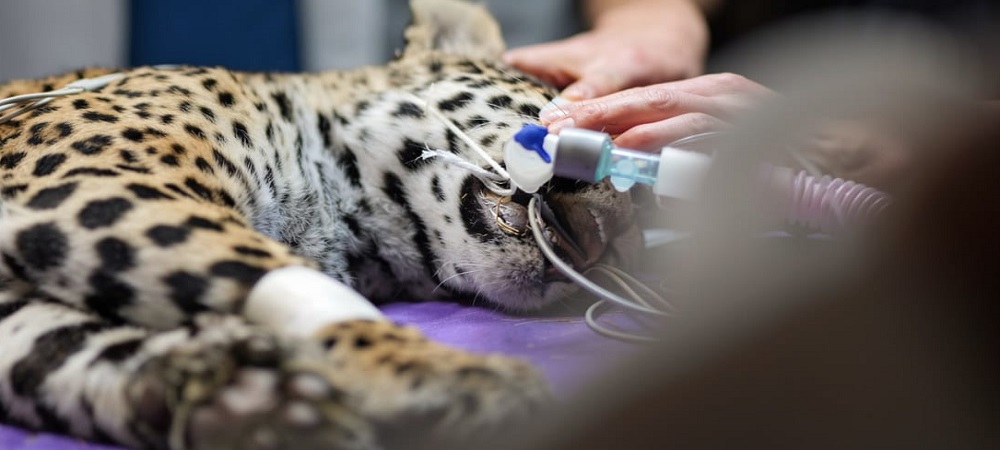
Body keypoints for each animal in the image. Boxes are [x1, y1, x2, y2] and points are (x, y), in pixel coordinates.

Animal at [0, 1, 640, 449]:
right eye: (575, 120)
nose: (609, 237)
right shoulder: (96, 181)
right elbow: (252, 268)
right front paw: (444, 371)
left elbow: (61, 353)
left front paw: (247, 404)